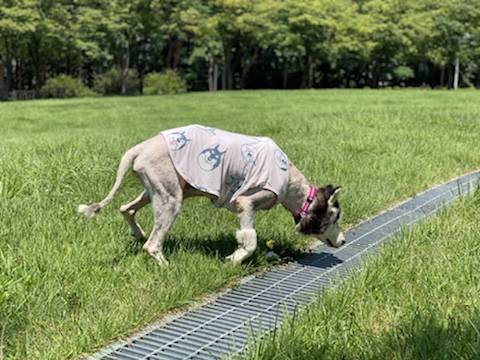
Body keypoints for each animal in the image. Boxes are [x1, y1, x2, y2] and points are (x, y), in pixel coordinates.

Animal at [78, 124, 344, 264]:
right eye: (335, 218)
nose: (343, 241)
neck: (290, 181)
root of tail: (140, 148)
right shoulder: (246, 201)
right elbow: (250, 240)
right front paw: (234, 259)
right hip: (170, 198)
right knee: (152, 244)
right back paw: (165, 265)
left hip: (157, 188)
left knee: (126, 208)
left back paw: (137, 233)